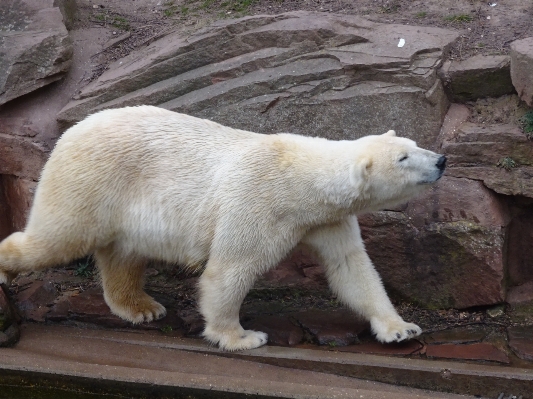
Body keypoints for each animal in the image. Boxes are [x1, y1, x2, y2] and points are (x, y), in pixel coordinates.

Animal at [0, 105, 444, 350]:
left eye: (413, 144)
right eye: (404, 158)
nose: (441, 160)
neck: (301, 179)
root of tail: (71, 130)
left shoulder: (327, 219)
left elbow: (352, 269)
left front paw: (401, 329)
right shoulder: (258, 204)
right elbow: (230, 270)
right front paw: (242, 337)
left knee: (123, 253)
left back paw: (141, 306)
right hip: (91, 180)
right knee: (56, 237)